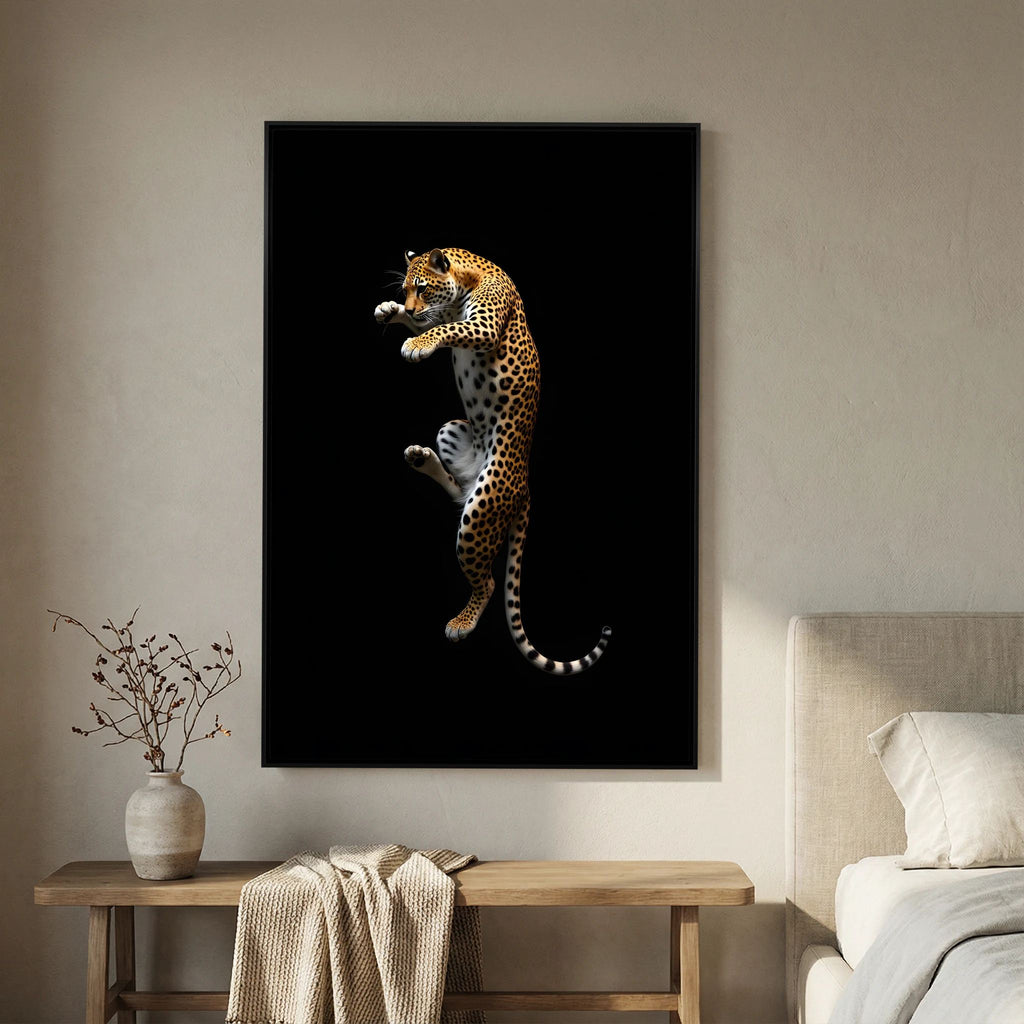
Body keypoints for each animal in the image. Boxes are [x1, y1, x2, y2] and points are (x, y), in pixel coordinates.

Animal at [374, 247, 611, 675]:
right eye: (406, 289)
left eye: (422, 287)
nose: (409, 306)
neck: (467, 276)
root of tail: (525, 486)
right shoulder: (447, 315)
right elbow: (434, 321)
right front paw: (392, 310)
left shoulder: (481, 326)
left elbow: (445, 330)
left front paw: (416, 342)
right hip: (451, 430)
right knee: (458, 489)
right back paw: (420, 457)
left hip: (482, 508)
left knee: (485, 581)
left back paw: (461, 624)